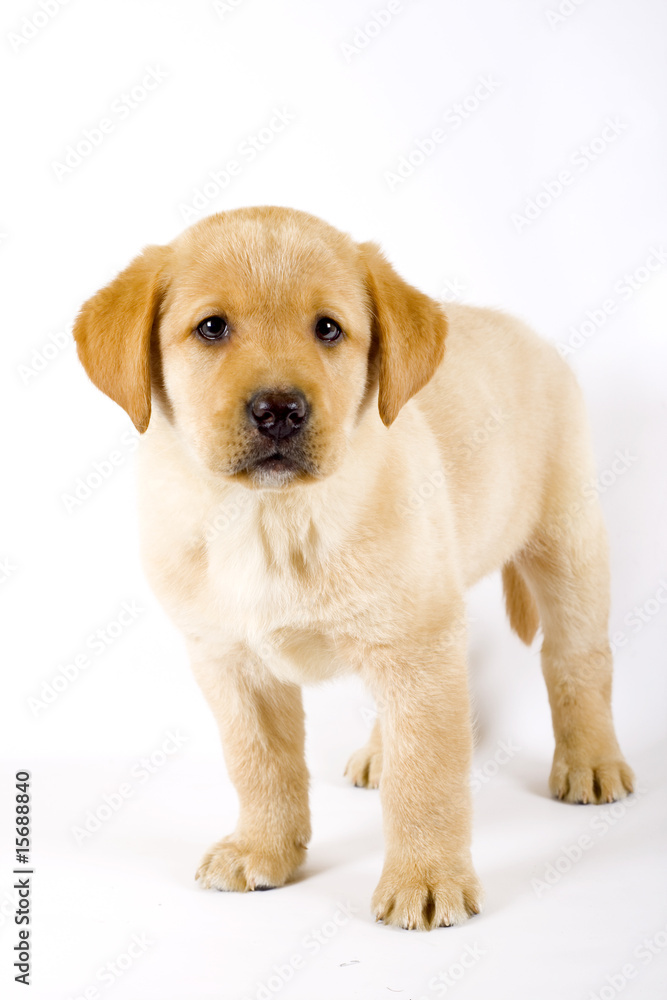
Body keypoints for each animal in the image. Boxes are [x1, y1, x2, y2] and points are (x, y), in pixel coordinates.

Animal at [75, 207, 636, 932]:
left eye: (328, 329)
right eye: (211, 327)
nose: (279, 410)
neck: (271, 519)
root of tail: (523, 329)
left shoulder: (417, 641)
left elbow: (426, 778)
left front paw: (426, 878)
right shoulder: (230, 660)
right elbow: (259, 764)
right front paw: (263, 847)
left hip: (565, 544)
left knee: (577, 661)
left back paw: (591, 760)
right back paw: (378, 752)